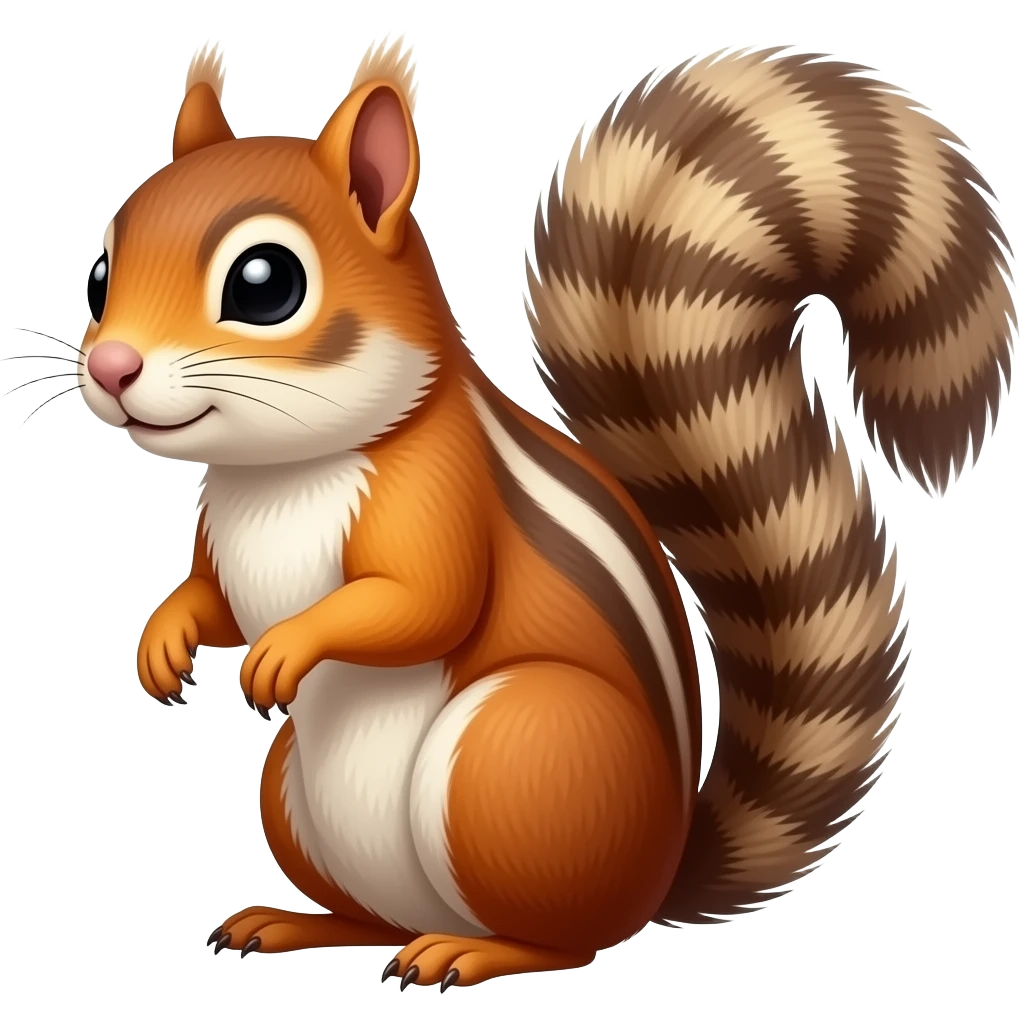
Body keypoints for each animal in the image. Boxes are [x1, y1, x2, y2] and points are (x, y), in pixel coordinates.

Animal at [75, 31, 1016, 986]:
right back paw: (297, 923)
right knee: (374, 918)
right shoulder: (222, 541)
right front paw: (164, 640)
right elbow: (215, 599)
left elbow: (426, 603)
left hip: (516, 755)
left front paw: (286, 649)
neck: (281, 474)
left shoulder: (439, 497)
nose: (111, 367)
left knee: (564, 940)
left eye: (266, 285)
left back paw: (468, 951)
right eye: (100, 274)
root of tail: (659, 876)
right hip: (296, 794)